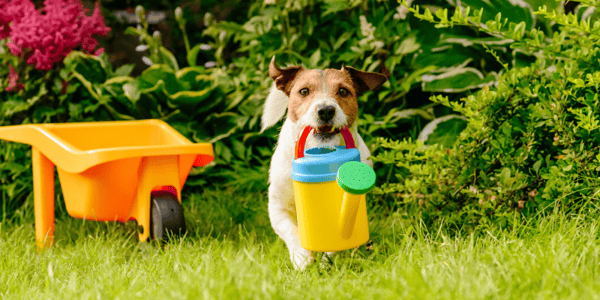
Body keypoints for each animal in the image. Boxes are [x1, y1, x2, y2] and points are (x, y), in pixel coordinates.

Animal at [260, 56, 386, 270]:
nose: (326, 110)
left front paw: (325, 262)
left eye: (343, 91)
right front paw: (302, 259)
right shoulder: (277, 208)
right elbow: (292, 232)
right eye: (304, 91)